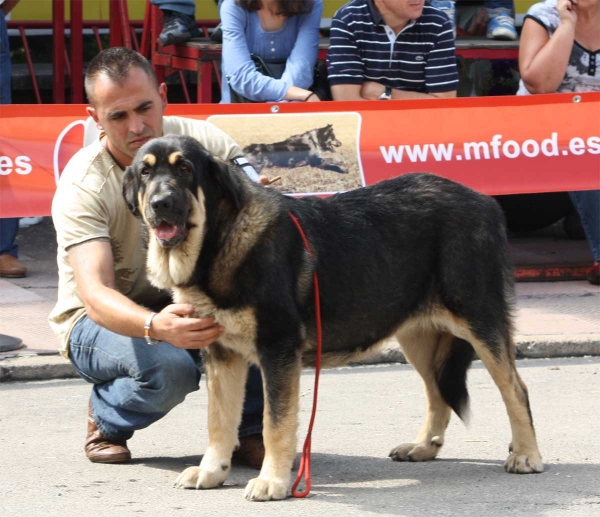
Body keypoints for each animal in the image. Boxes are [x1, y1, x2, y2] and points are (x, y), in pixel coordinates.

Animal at [122, 133, 544, 500]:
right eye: (145, 173)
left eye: (185, 170)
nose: (160, 203)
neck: (218, 241)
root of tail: (486, 201)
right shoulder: (222, 355)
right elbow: (219, 421)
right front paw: (212, 471)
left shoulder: (278, 350)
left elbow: (276, 424)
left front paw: (273, 481)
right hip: (418, 336)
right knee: (437, 392)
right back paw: (424, 447)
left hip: (480, 321)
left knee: (516, 389)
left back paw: (526, 454)